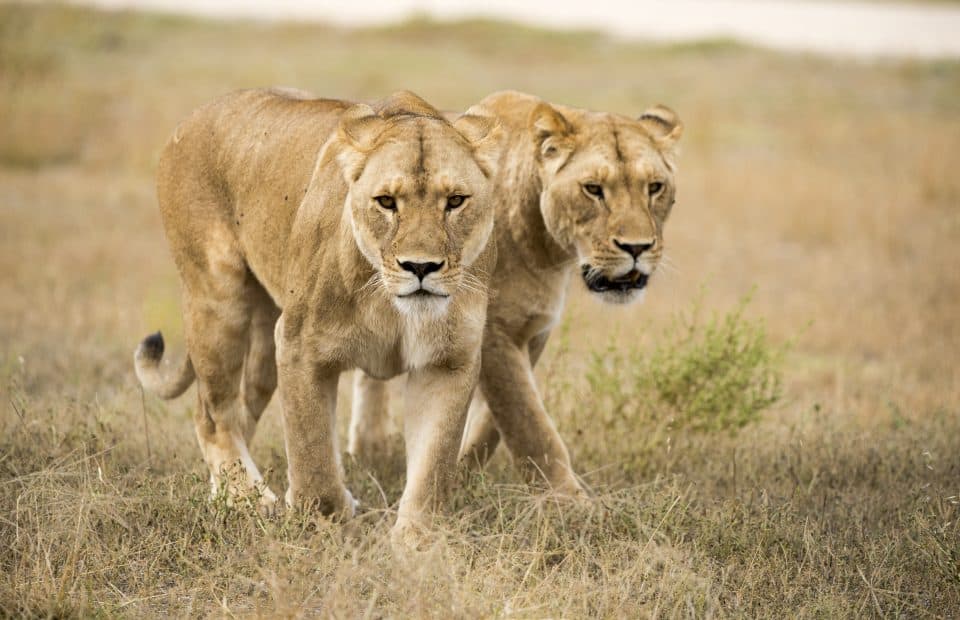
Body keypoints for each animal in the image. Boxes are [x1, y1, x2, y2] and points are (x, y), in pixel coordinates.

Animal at [133, 88, 501, 536]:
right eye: (386, 202)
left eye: (455, 201)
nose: (420, 267)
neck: (390, 305)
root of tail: (191, 118)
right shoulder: (300, 347)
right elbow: (313, 454)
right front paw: (326, 519)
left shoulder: (448, 361)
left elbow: (433, 465)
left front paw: (416, 543)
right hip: (218, 298)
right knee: (212, 412)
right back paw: (248, 502)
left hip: (263, 343)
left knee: (240, 410)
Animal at [350, 91, 682, 495]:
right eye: (593, 189)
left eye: (655, 187)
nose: (636, 247)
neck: (548, 250)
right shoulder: (491, 330)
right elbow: (528, 422)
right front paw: (570, 502)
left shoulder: (533, 329)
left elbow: (494, 422)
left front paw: (461, 475)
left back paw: (370, 451)